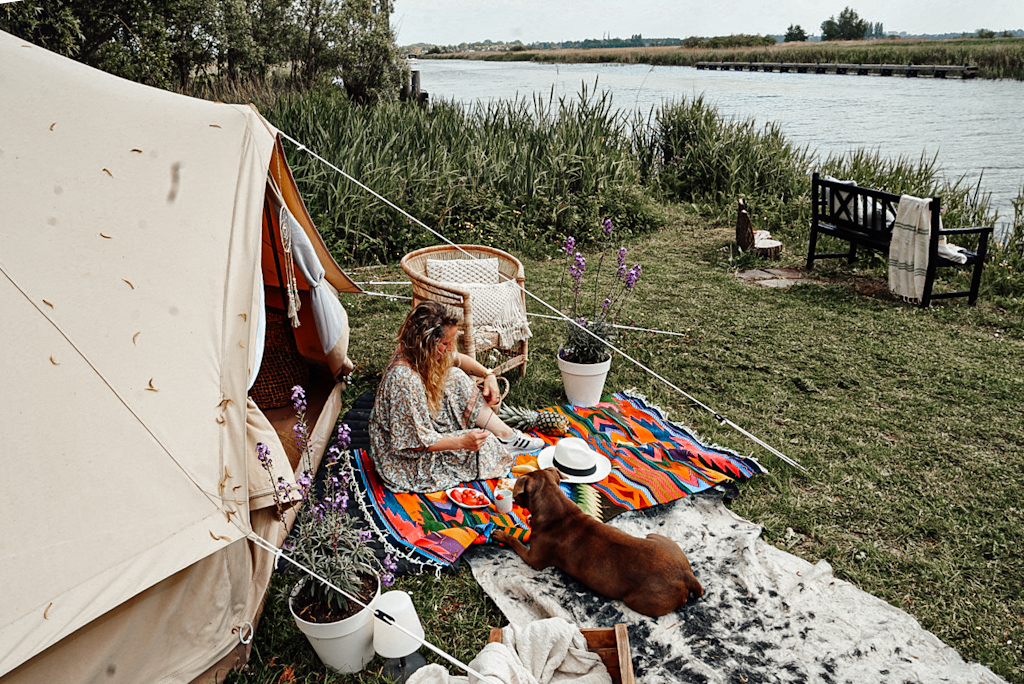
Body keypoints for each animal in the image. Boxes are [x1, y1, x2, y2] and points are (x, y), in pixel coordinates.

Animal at [489, 466, 704, 618]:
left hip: (637, 600)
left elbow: (515, 541)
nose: (514, 501)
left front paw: (501, 534)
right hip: (656, 538)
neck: (558, 508)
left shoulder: (533, 558)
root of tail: (686, 576)